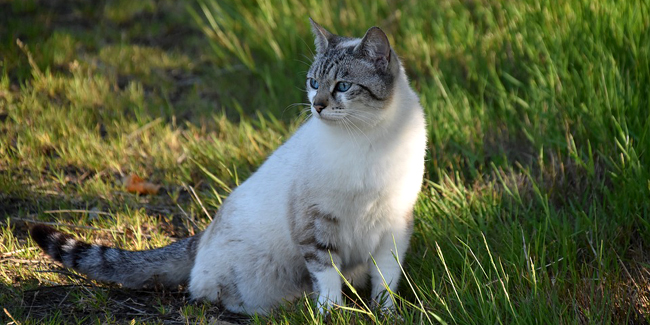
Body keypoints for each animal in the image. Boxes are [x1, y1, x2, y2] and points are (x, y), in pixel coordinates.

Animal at [30, 18, 428, 314]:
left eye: (343, 86)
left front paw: (386, 314)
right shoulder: (315, 226)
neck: (367, 140)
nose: (316, 105)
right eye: (314, 83)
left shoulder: (394, 227)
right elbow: (327, 280)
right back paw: (284, 306)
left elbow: (385, 282)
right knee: (210, 291)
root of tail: (203, 233)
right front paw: (332, 314)